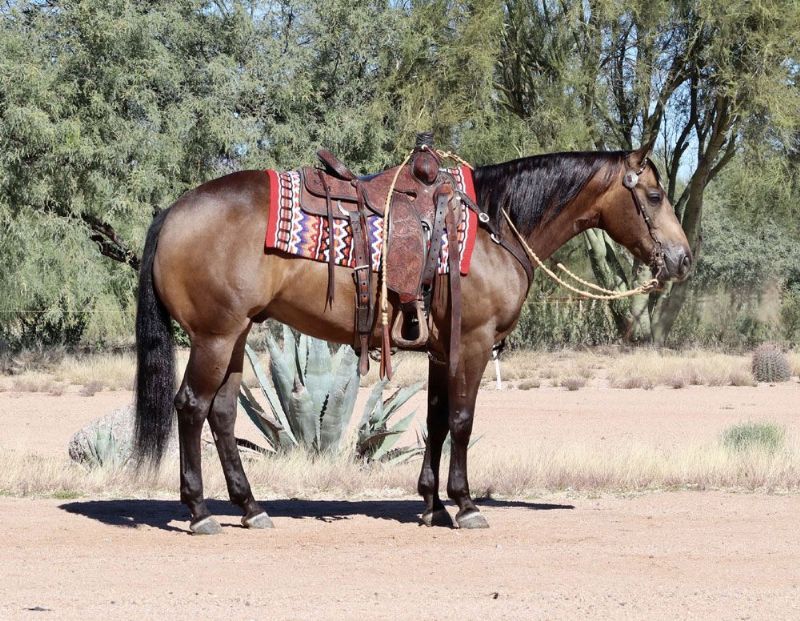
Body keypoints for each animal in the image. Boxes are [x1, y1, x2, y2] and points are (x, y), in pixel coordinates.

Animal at [134, 145, 692, 534]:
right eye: (655, 196)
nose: (683, 259)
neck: (492, 225)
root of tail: (173, 210)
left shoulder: (442, 351)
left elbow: (437, 422)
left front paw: (432, 504)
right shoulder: (472, 344)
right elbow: (463, 422)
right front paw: (465, 505)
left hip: (235, 336)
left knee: (223, 415)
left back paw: (251, 508)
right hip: (214, 337)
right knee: (191, 407)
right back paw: (200, 512)